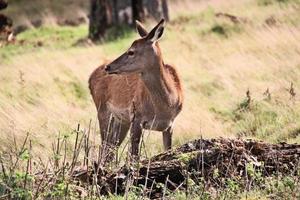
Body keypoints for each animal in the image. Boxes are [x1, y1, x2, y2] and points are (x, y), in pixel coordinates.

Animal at [89, 19, 183, 159]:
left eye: (131, 51)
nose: (108, 67)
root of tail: (90, 77)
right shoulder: (136, 117)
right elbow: (133, 156)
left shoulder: (170, 125)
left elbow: (168, 150)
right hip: (102, 110)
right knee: (104, 149)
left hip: (121, 121)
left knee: (110, 150)